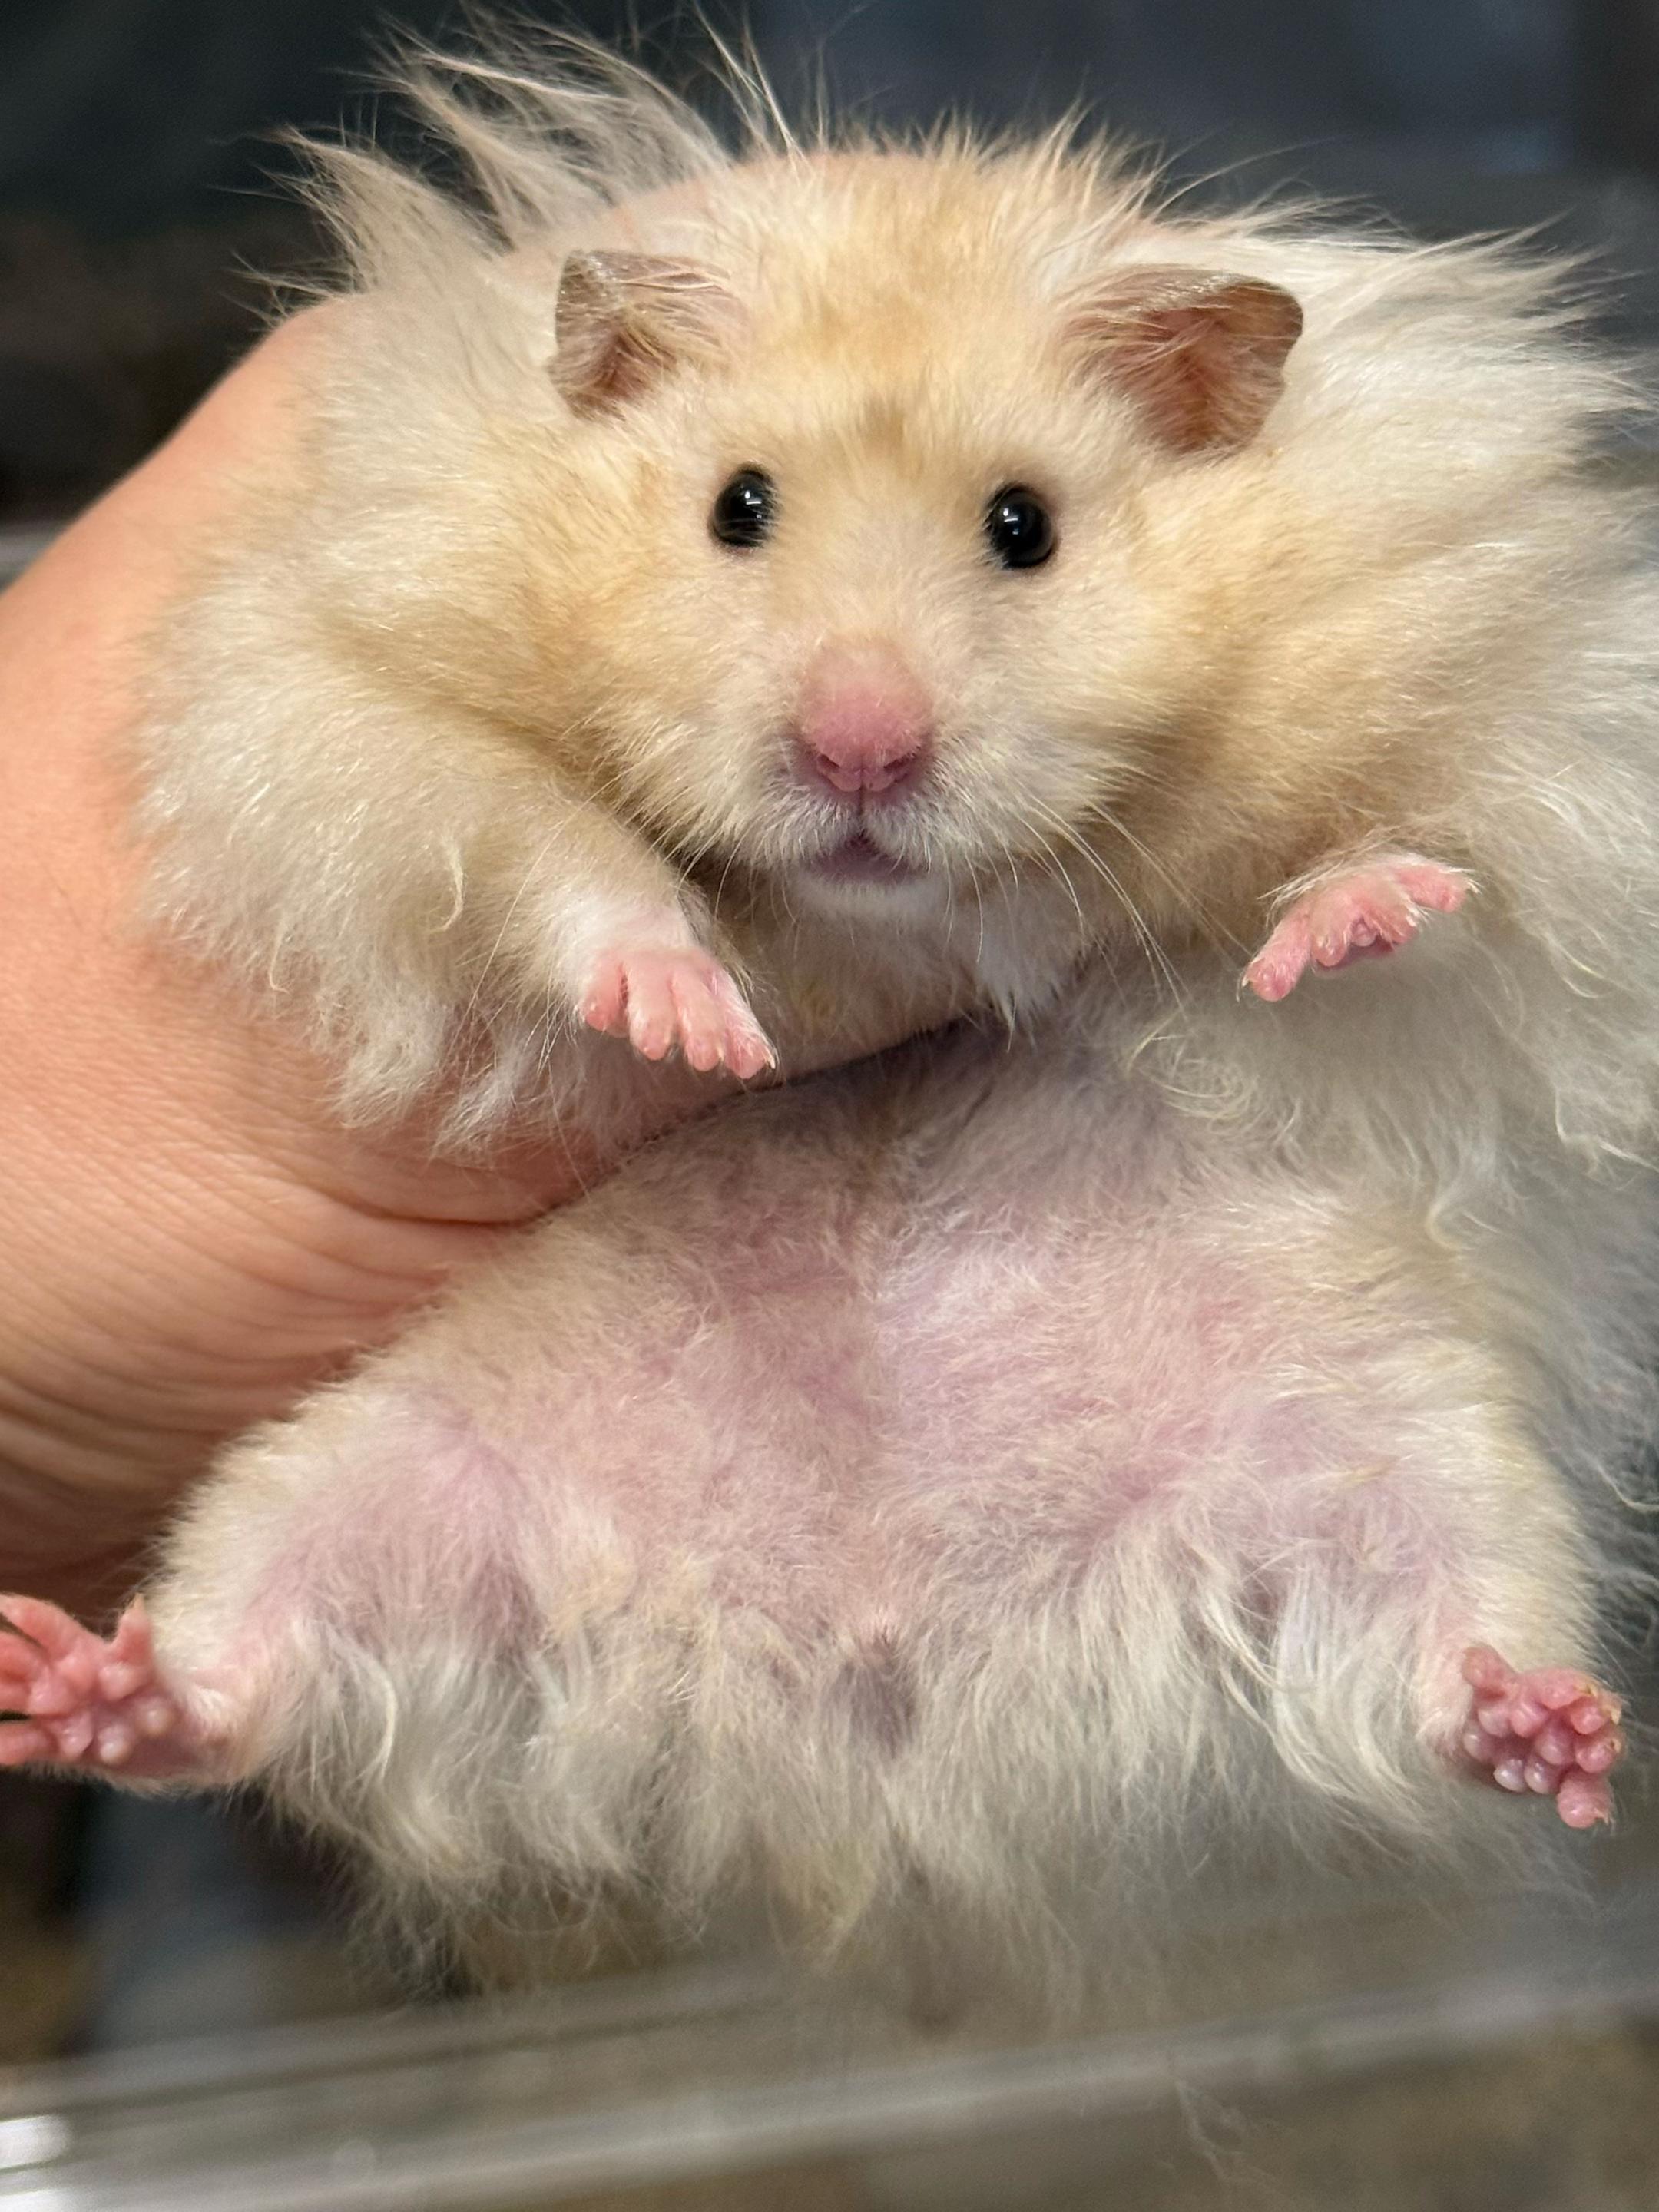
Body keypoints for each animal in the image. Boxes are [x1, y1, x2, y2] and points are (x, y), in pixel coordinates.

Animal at [5, 45, 1658, 2003]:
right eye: (736, 507)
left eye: (1025, 528)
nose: (860, 752)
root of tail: (869, 1690)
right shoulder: (343, 707)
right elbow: (558, 856)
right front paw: (696, 1024)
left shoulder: (1515, 723)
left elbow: (1394, 882)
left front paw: (1351, 908)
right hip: (338, 1481)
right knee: (239, 1674)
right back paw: (70, 1687)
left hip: (1409, 1451)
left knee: (1451, 1654)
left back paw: (1557, 1732)